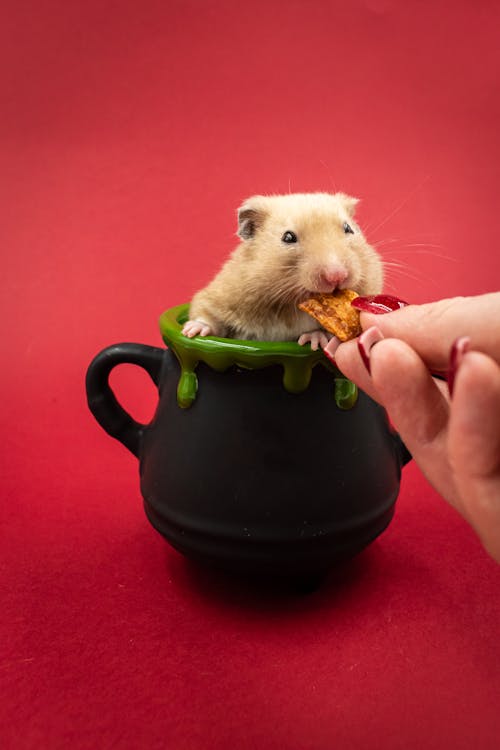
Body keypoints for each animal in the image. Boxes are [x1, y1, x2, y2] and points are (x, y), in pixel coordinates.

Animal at [183, 192, 382, 348]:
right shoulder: (221, 296)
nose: (336, 276)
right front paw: (191, 331)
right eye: (288, 237)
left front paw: (315, 339)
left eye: (348, 229)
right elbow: (208, 315)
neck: (289, 305)